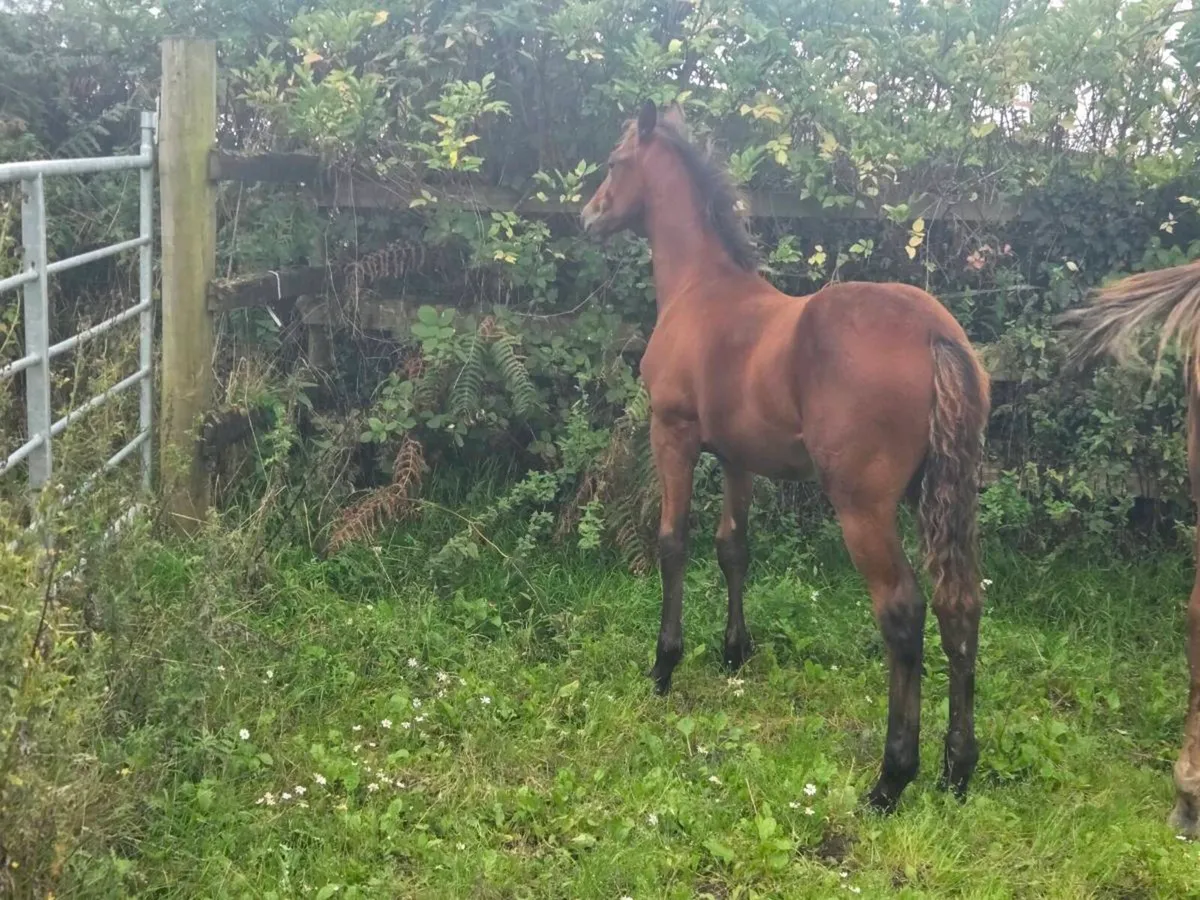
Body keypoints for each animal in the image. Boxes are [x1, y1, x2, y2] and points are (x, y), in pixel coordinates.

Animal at [580, 99, 991, 812]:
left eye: (614, 161)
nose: (589, 215)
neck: (700, 290)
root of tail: (938, 334)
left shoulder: (674, 436)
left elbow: (673, 542)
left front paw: (664, 665)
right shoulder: (738, 457)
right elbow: (733, 546)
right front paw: (734, 652)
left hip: (863, 505)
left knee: (903, 611)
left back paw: (892, 779)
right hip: (943, 493)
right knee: (958, 603)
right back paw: (956, 770)